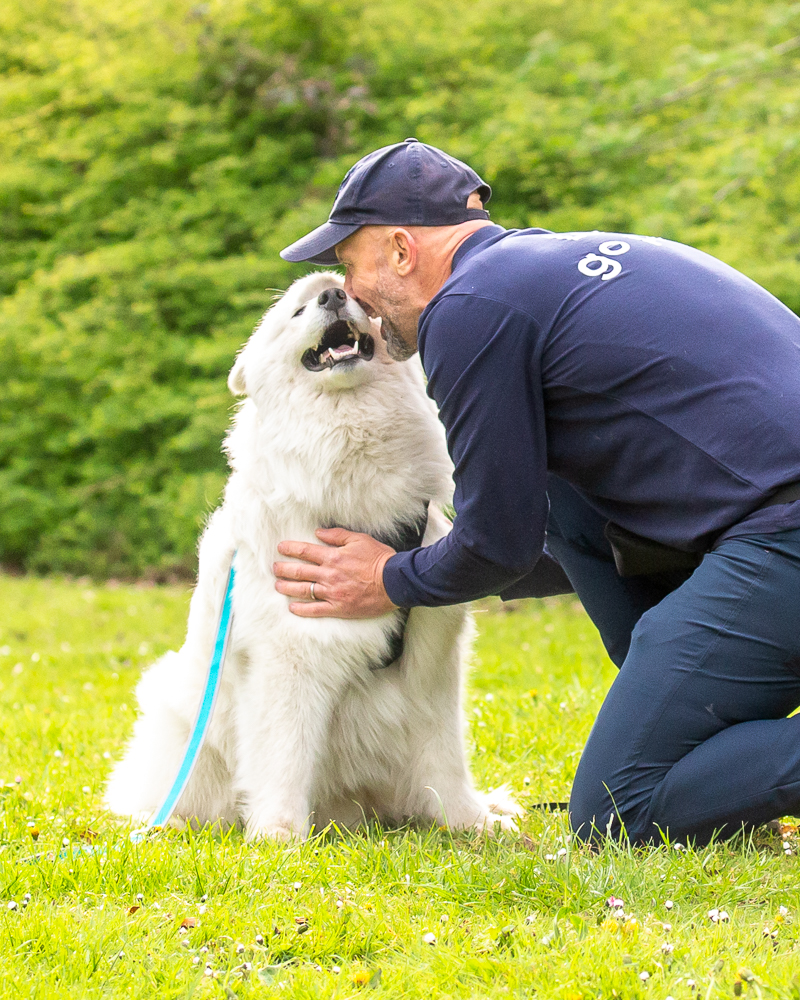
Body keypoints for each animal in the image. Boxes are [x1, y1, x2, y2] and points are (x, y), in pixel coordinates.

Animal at [106, 270, 520, 840]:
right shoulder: (293, 655)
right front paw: (279, 836)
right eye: (298, 311)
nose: (333, 295)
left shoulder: (434, 657)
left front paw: (468, 822)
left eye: (354, 297)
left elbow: (444, 756)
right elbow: (285, 756)